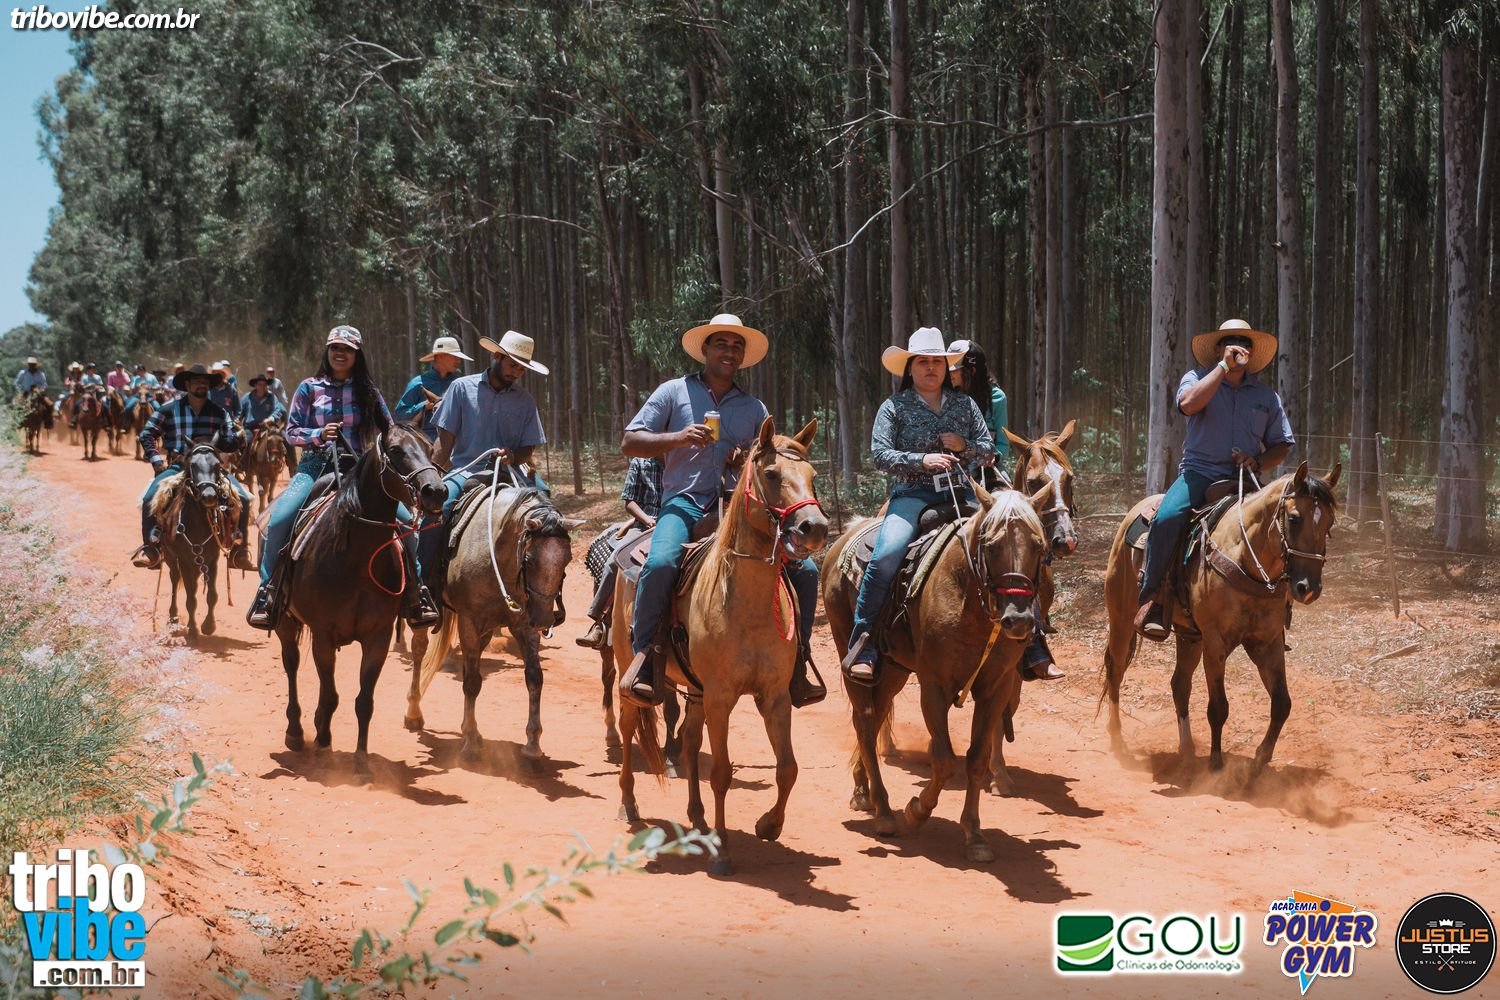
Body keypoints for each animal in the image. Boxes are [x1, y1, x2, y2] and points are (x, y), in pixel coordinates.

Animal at [148, 443, 240, 639]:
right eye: (193, 465)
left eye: (217, 465)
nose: (209, 496)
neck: (197, 521)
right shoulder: (183, 560)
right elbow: (191, 597)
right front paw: (192, 629)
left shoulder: (212, 559)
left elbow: (211, 595)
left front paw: (208, 625)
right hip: (171, 558)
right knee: (175, 580)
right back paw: (173, 619)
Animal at [273, 425, 446, 780]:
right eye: (395, 450)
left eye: (428, 448)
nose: (435, 491)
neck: (356, 558)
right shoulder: (323, 635)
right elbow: (330, 695)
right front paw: (323, 745)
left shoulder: (378, 637)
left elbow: (363, 701)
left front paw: (361, 761)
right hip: (285, 621)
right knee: (291, 665)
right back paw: (296, 732)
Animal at [406, 486, 581, 760]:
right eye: (529, 559)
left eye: (567, 559)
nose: (544, 620)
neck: (496, 556)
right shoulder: (469, 622)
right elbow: (471, 683)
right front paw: (470, 742)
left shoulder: (524, 625)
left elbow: (534, 678)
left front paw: (532, 742)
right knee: (419, 651)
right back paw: (414, 712)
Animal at [823, 482, 1055, 864]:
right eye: (992, 545)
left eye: (1039, 545)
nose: (1018, 620)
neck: (969, 600)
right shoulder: (934, 687)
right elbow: (944, 760)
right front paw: (916, 810)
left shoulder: (996, 688)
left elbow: (976, 760)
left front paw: (974, 835)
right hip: (850, 652)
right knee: (865, 720)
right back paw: (884, 811)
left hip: (894, 669)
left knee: (874, 717)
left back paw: (863, 791)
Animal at [1100, 462, 1341, 776]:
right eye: (1294, 518)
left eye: (1329, 523)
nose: (1308, 588)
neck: (1246, 560)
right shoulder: (1215, 643)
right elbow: (1218, 707)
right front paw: (1216, 765)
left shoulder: (1267, 643)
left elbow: (1282, 704)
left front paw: (1260, 761)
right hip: (1121, 617)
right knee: (1116, 670)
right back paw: (1118, 742)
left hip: (1189, 635)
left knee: (1180, 685)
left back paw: (1187, 751)